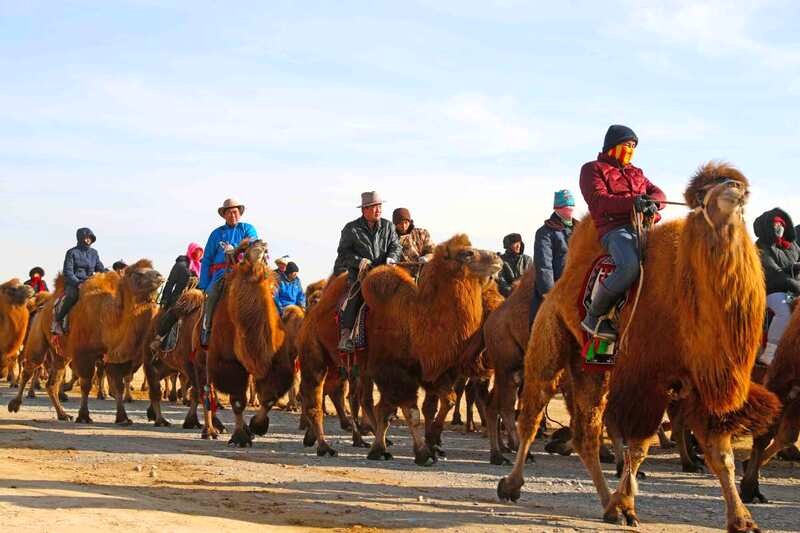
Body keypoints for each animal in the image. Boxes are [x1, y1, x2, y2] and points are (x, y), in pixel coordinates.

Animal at [197, 240, 300, 444]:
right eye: (243, 251)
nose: (259, 244)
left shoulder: (277, 362)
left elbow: (269, 396)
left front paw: (257, 426)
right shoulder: (228, 362)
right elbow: (237, 401)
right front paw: (240, 436)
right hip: (203, 358)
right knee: (206, 391)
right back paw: (210, 430)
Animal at [358, 235, 500, 464]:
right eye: (467, 253)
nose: (497, 258)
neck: (415, 324)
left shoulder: (434, 372)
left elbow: (445, 401)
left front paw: (432, 442)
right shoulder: (394, 372)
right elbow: (410, 413)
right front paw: (423, 453)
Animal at [496, 163, 780, 532]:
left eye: (739, 181)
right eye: (704, 191)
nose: (735, 188)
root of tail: (556, 287)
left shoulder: (703, 384)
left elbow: (722, 456)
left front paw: (742, 518)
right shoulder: (646, 377)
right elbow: (638, 446)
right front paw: (628, 503)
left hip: (592, 368)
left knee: (586, 432)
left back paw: (606, 504)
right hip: (549, 342)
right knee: (531, 414)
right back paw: (512, 485)